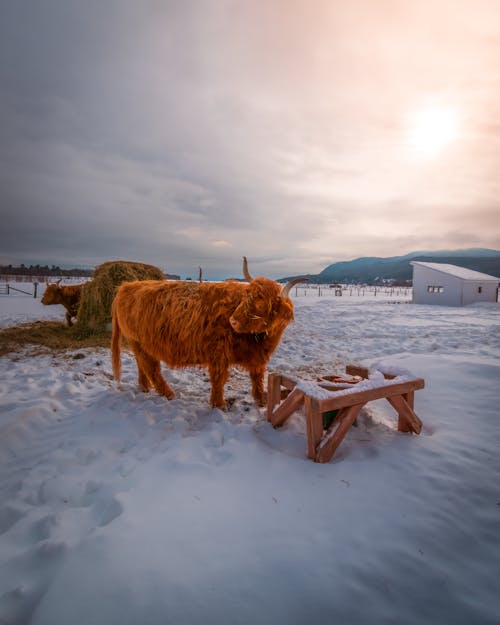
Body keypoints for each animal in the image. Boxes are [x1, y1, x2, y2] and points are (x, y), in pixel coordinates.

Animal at [110, 256, 304, 408]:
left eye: (263, 304)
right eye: (247, 297)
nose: (233, 320)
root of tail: (127, 286)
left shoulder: (257, 358)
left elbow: (257, 377)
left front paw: (261, 401)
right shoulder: (218, 353)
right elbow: (218, 378)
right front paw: (219, 405)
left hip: (140, 344)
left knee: (142, 365)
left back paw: (145, 387)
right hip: (139, 343)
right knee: (152, 369)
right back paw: (168, 394)